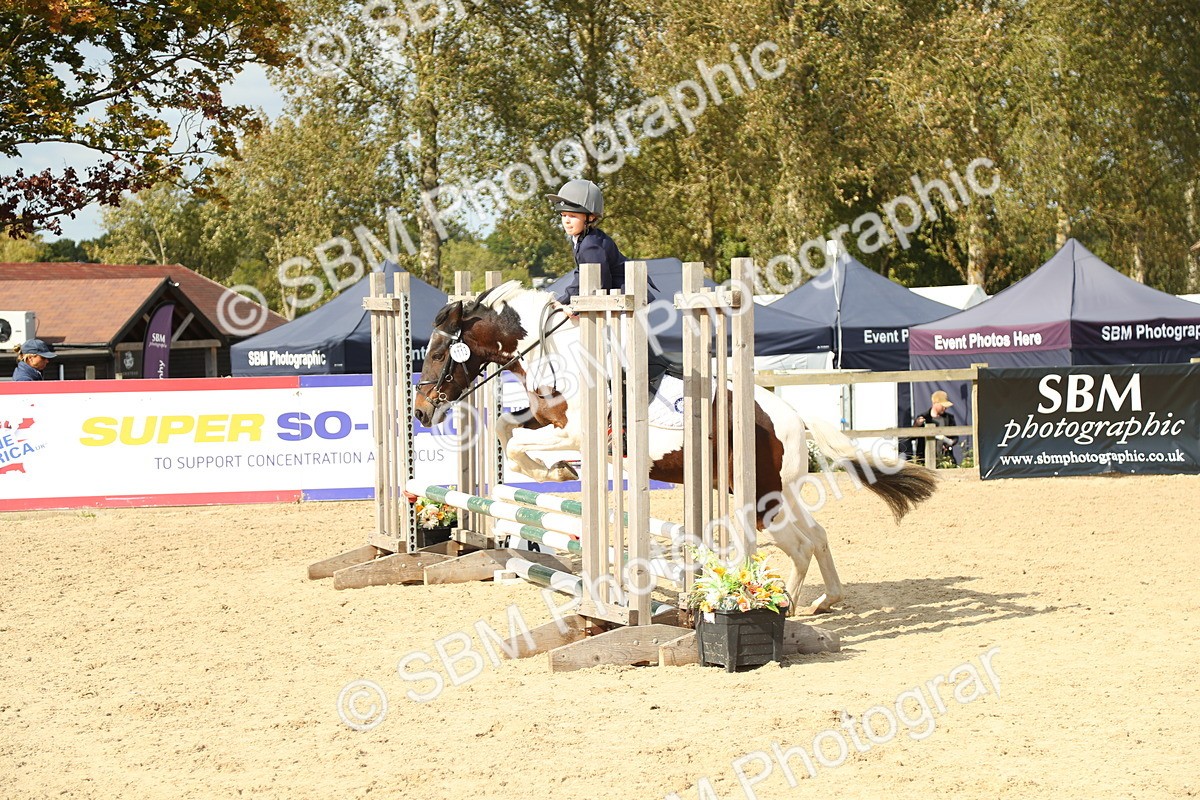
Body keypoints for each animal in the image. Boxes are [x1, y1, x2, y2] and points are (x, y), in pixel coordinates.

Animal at [412, 281, 938, 614]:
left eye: (437, 353)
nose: (420, 411)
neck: (557, 351)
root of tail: (790, 415)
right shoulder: (545, 416)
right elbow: (506, 429)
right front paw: (555, 472)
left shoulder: (577, 431)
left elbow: (521, 442)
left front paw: (556, 470)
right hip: (773, 493)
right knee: (818, 536)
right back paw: (825, 600)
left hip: (760, 500)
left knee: (801, 544)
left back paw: (781, 603)